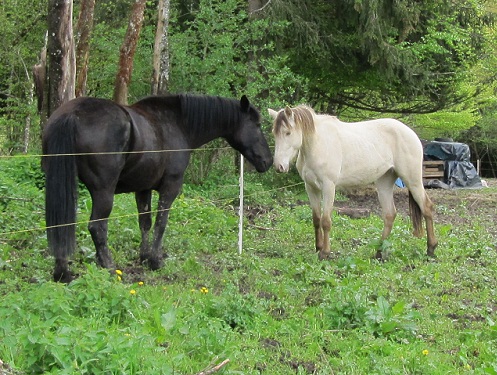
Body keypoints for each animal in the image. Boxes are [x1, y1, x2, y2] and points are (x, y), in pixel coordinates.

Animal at [43, 94, 274, 282]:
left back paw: (62, 273)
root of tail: (73, 113)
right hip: (103, 192)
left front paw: (144, 257)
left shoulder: (142, 188)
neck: (178, 123)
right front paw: (155, 261)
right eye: (257, 124)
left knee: (61, 223)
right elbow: (161, 223)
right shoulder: (170, 186)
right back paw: (108, 267)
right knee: (97, 227)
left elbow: (145, 223)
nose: (268, 161)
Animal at [270, 104, 436, 260]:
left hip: (413, 180)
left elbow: (326, 221)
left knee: (427, 208)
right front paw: (318, 248)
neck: (318, 144)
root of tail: (411, 133)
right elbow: (316, 219)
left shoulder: (328, 187)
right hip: (385, 182)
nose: (279, 167)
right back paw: (379, 253)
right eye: (275, 133)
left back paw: (431, 249)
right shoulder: (310, 187)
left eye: (288, 133)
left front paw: (325, 252)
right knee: (390, 215)